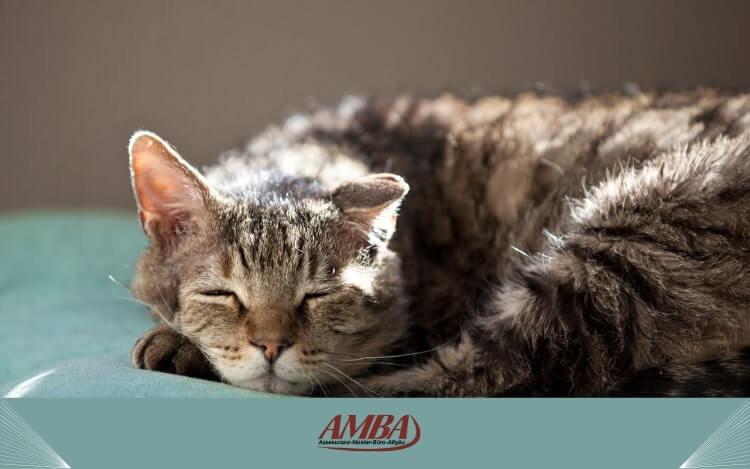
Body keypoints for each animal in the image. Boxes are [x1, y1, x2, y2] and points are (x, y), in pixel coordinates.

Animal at [129, 88, 750, 394]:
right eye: (222, 294)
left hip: (615, 246)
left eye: (318, 296)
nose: (271, 346)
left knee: (495, 373)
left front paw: (178, 345)